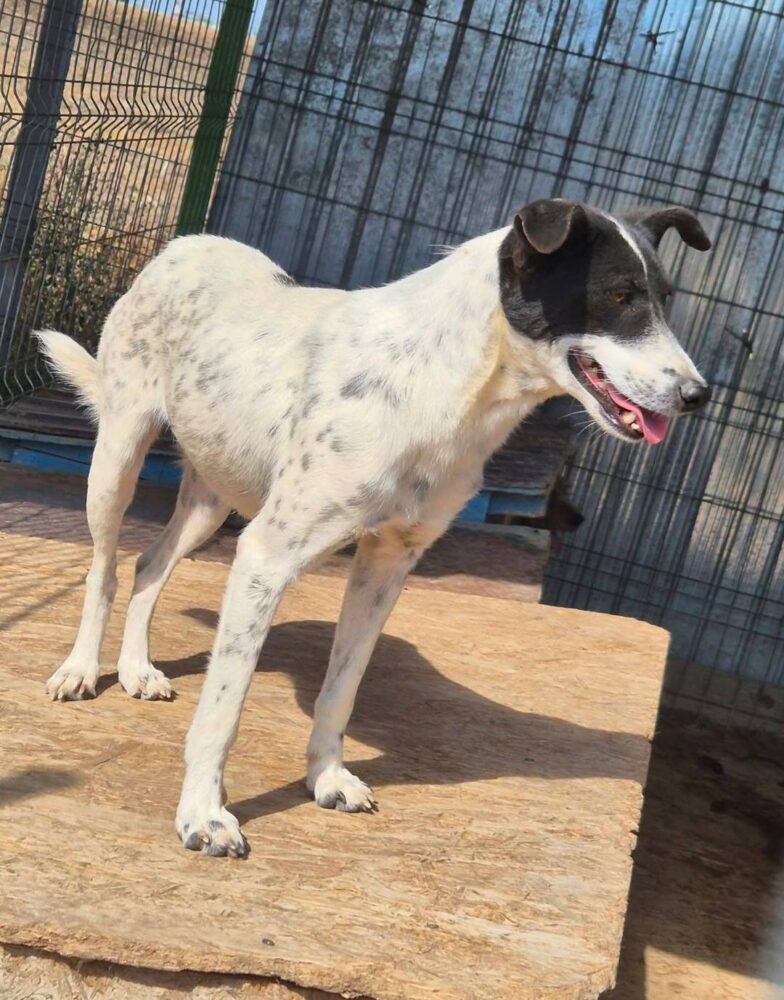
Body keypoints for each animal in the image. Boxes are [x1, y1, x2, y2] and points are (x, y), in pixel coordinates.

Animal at [37, 198, 711, 857]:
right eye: (619, 295)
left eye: (664, 299)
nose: (698, 395)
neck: (449, 386)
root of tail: (184, 243)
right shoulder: (264, 557)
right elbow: (223, 709)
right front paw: (204, 815)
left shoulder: (387, 565)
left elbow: (343, 688)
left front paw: (326, 778)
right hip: (119, 456)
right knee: (104, 568)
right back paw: (81, 669)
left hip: (213, 498)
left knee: (151, 562)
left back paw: (136, 669)